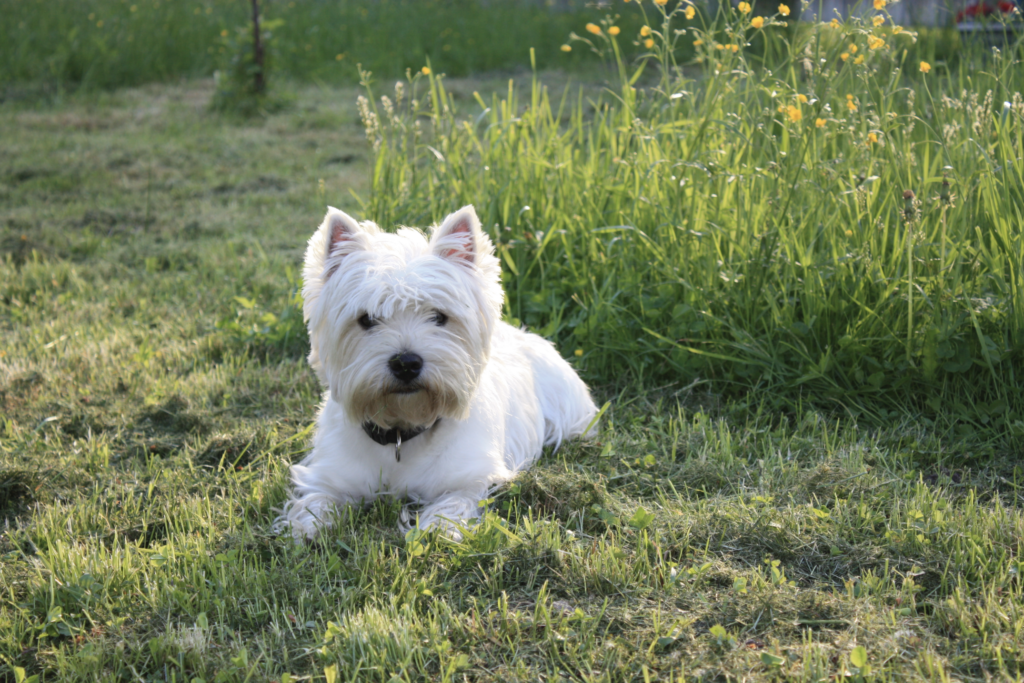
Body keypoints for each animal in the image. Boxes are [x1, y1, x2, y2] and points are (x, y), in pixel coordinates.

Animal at [278, 204, 598, 540]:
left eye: (439, 317)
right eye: (366, 319)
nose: (406, 363)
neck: (401, 435)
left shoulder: (471, 477)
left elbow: (453, 501)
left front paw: (436, 529)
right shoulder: (330, 474)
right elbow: (318, 498)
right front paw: (308, 526)